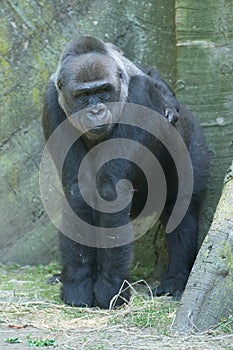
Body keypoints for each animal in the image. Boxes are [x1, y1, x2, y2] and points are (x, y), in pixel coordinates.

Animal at [42, 36, 209, 308]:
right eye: (83, 95)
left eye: (103, 91)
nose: (96, 111)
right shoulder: (51, 100)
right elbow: (78, 190)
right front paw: (78, 284)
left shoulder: (141, 92)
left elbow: (109, 189)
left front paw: (110, 288)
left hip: (193, 138)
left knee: (181, 209)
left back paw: (175, 280)